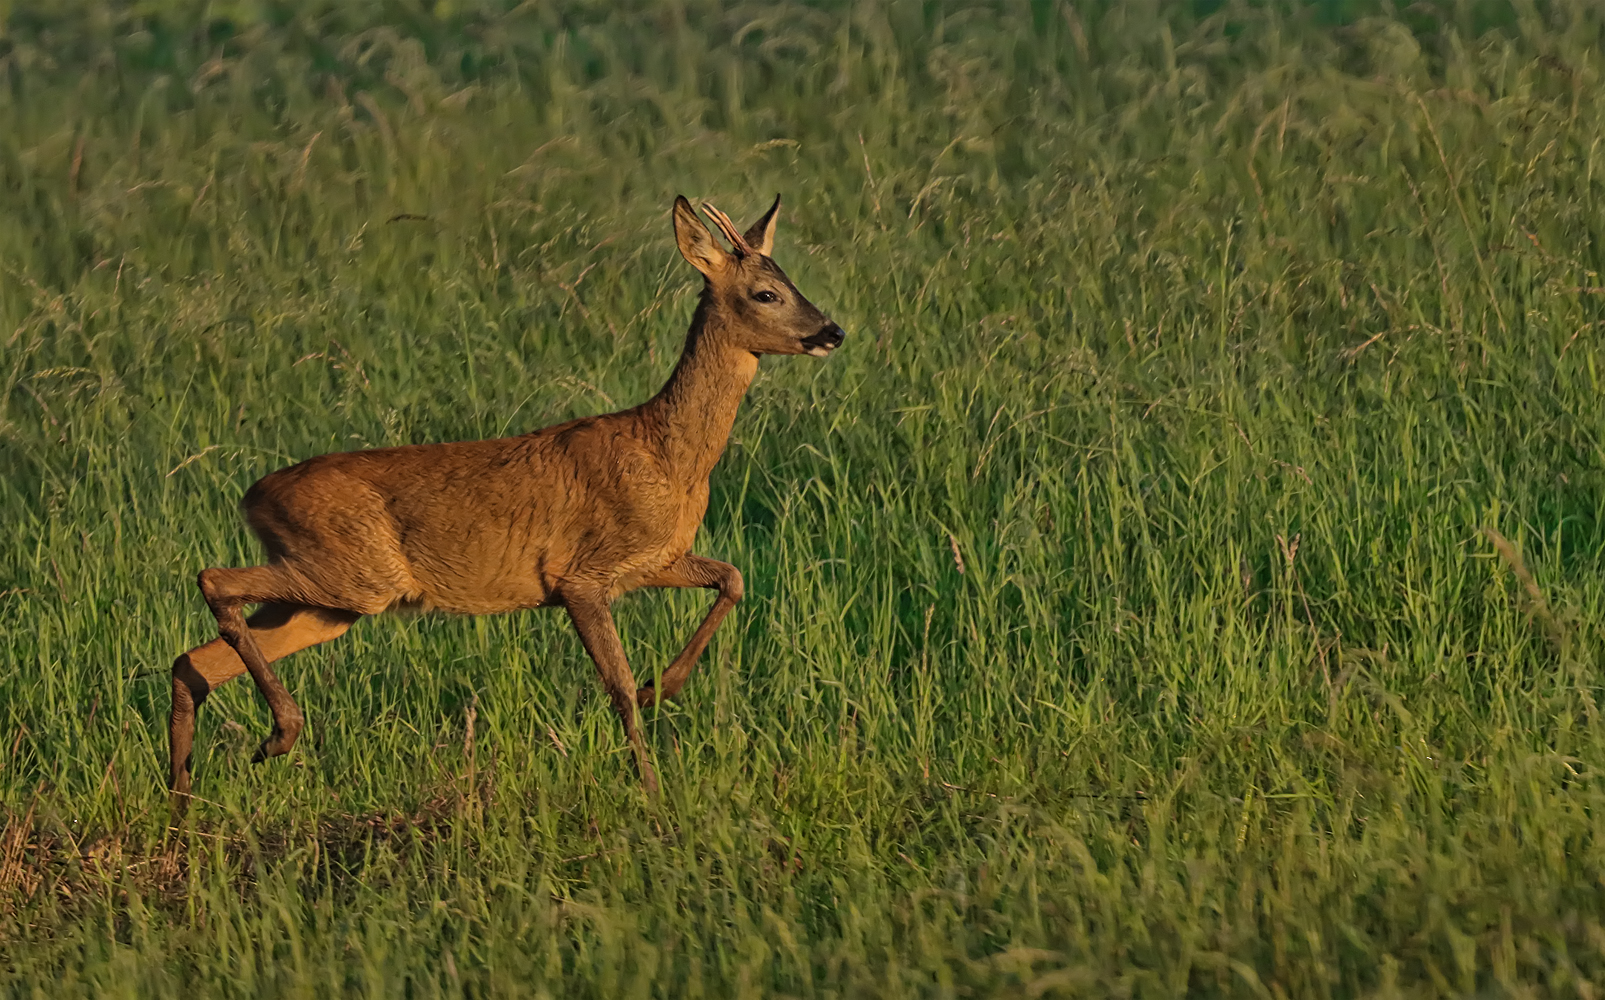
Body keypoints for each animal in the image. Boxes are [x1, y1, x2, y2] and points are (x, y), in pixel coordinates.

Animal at [172, 197, 853, 815]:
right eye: (766, 293)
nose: (832, 332)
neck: (667, 454)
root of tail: (252, 495)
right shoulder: (580, 577)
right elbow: (617, 685)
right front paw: (654, 793)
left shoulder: (656, 560)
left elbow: (732, 578)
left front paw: (664, 687)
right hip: (351, 574)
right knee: (212, 580)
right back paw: (277, 737)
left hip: (329, 601)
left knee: (193, 660)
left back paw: (184, 797)